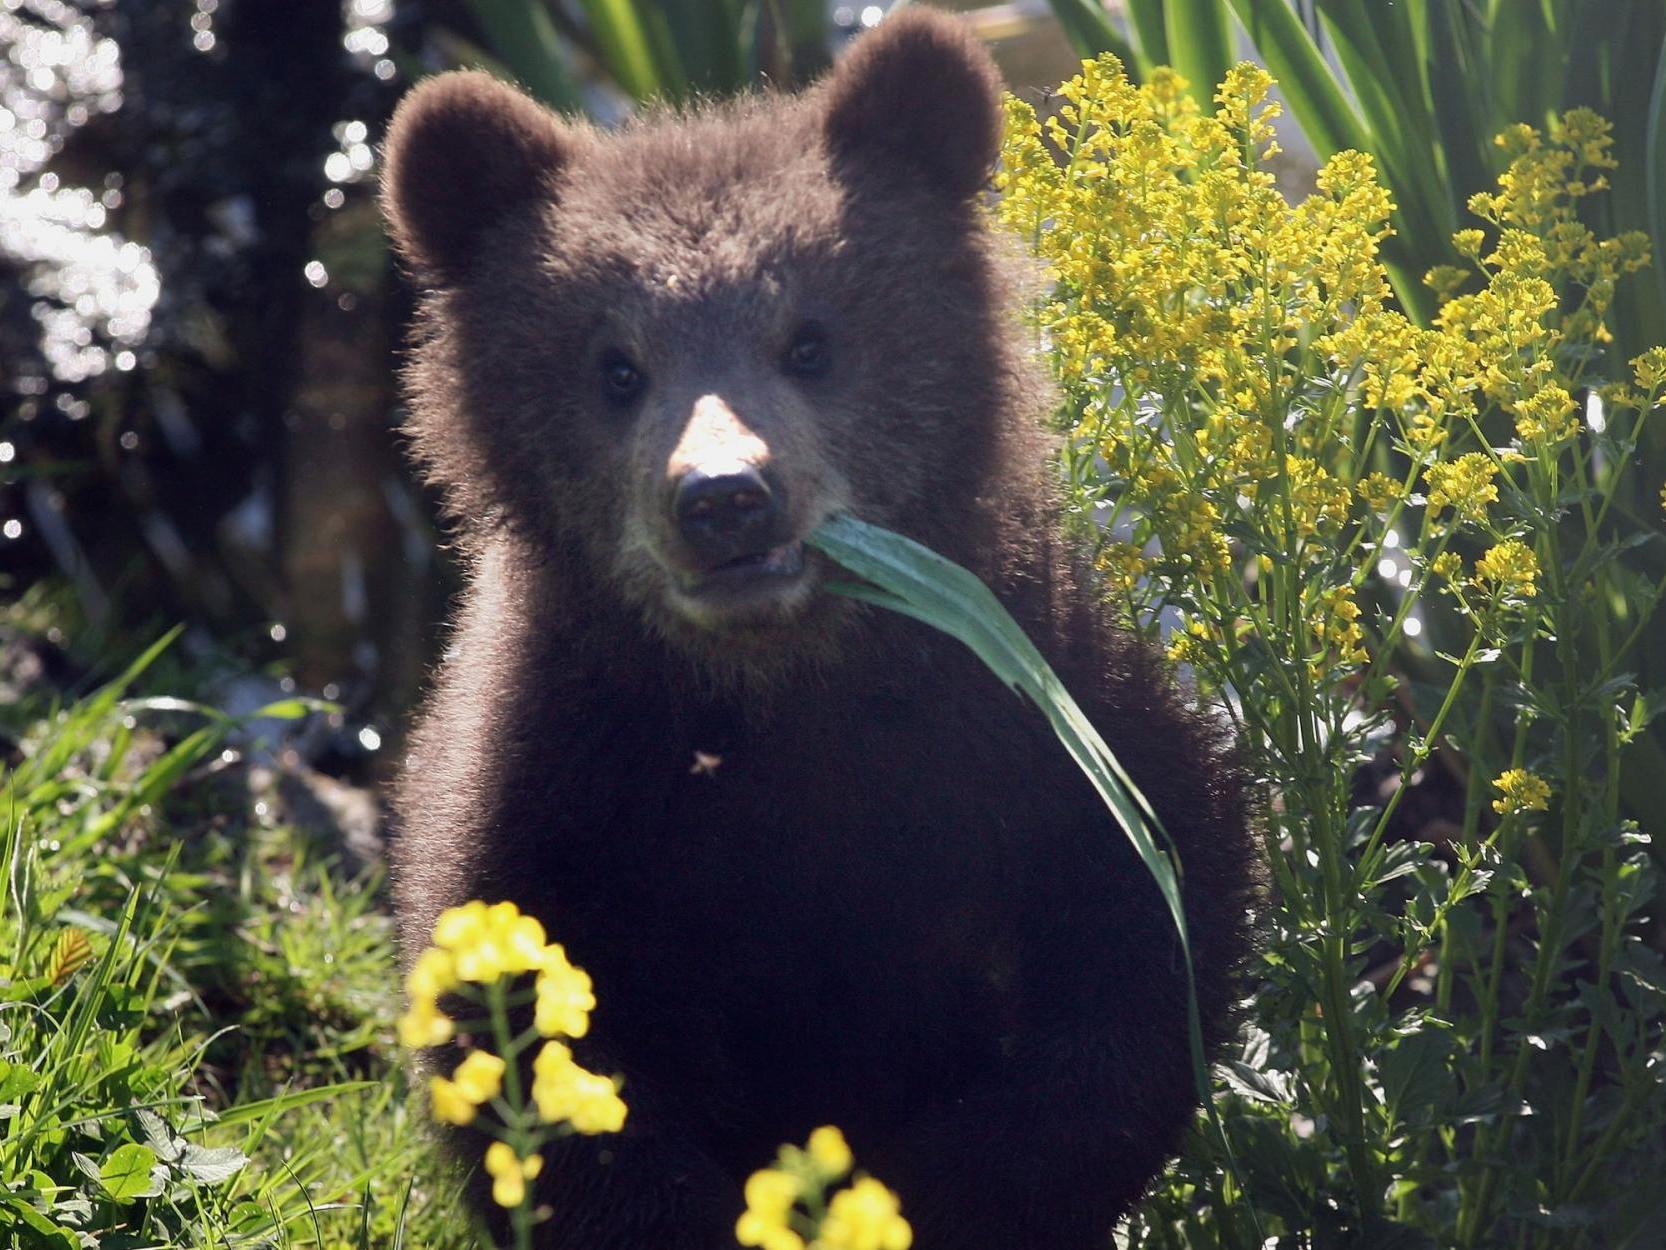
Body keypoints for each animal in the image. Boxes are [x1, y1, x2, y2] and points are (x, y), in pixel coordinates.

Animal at [380, 9, 1258, 1249]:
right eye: (616, 365)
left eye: (808, 339)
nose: (723, 497)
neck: (783, 693)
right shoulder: (563, 789)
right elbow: (532, 1054)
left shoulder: (1036, 718)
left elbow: (1143, 948)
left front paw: (942, 1185)